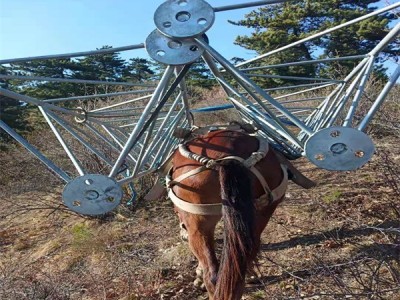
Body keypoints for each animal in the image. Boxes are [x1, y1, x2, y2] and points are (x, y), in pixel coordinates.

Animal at [163, 127, 316, 300]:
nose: (182, 230)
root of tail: (228, 158)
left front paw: (198, 277)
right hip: (260, 214)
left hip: (198, 223)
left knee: (213, 275)